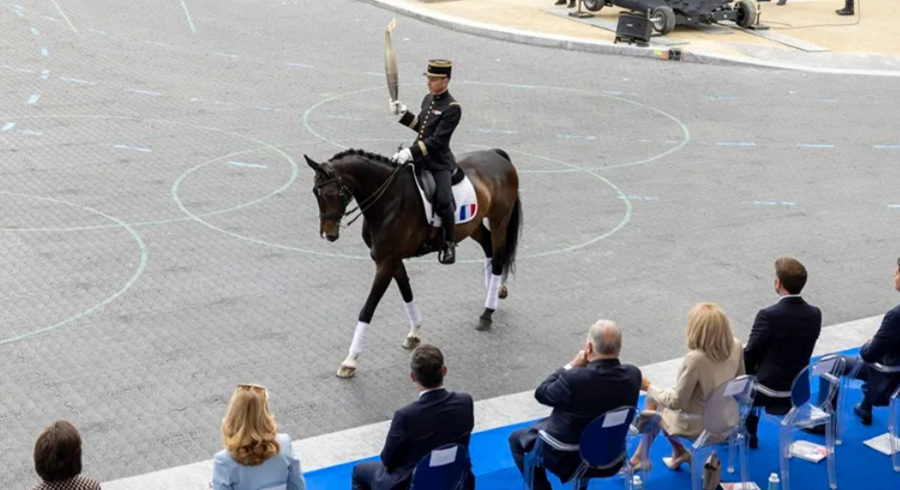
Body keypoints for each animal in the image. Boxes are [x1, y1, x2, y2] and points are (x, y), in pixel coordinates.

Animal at [306, 147, 524, 378]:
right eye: (315, 192)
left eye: (332, 193)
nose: (328, 234)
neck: (389, 199)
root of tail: (495, 154)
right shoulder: (391, 259)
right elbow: (406, 292)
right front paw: (414, 332)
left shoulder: (386, 263)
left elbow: (368, 309)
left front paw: (350, 360)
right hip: (472, 225)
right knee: (488, 247)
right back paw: (495, 291)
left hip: (500, 220)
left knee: (498, 258)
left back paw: (487, 313)